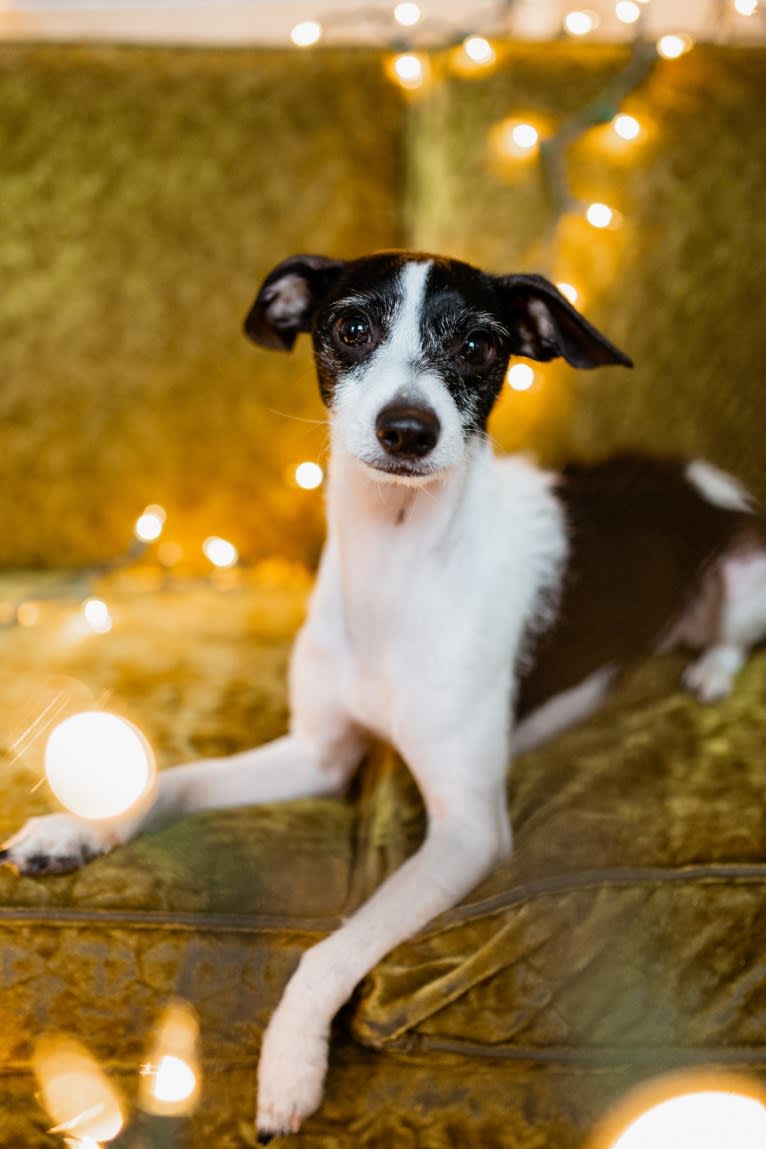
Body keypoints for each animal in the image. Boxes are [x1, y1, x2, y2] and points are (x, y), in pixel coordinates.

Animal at [1, 253, 766, 1139]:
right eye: (350, 326)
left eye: (480, 344)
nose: (408, 428)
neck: (395, 568)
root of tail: (702, 475)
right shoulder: (319, 753)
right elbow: (172, 779)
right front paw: (75, 829)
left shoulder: (468, 832)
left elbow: (331, 945)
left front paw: (290, 1064)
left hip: (747, 577)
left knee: (731, 635)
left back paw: (709, 671)